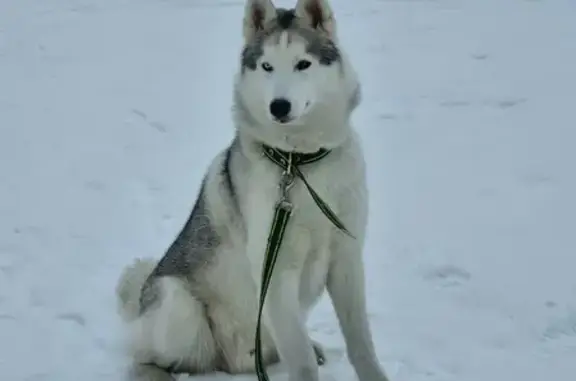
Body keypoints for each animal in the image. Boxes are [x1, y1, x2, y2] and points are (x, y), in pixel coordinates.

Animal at [115, 0, 390, 380]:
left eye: (303, 64)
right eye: (267, 66)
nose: (279, 106)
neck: (298, 163)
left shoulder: (346, 259)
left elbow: (361, 343)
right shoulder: (274, 268)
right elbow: (301, 362)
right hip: (180, 308)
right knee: (145, 356)